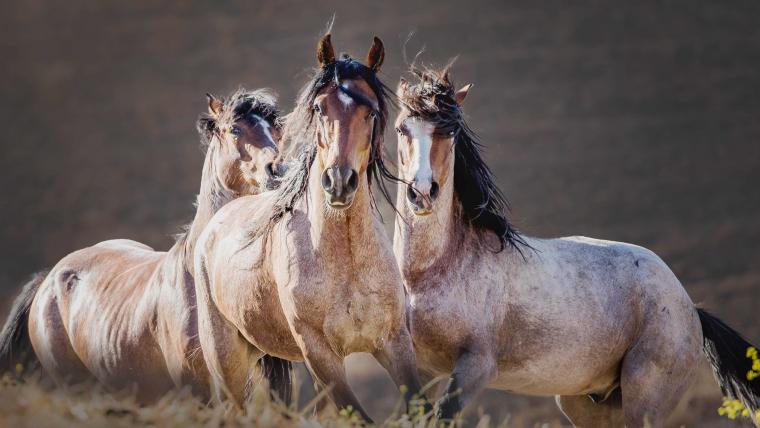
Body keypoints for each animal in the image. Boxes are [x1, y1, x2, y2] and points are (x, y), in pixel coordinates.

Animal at [191, 34, 428, 422]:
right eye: (319, 108)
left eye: (371, 111)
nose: (339, 182)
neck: (345, 260)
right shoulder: (320, 355)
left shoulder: (395, 342)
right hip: (228, 363)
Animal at [392, 67, 760, 424]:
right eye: (401, 129)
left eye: (450, 132)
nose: (422, 192)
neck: (433, 272)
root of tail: (690, 308)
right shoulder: (421, 370)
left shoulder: (475, 367)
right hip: (586, 404)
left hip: (644, 400)